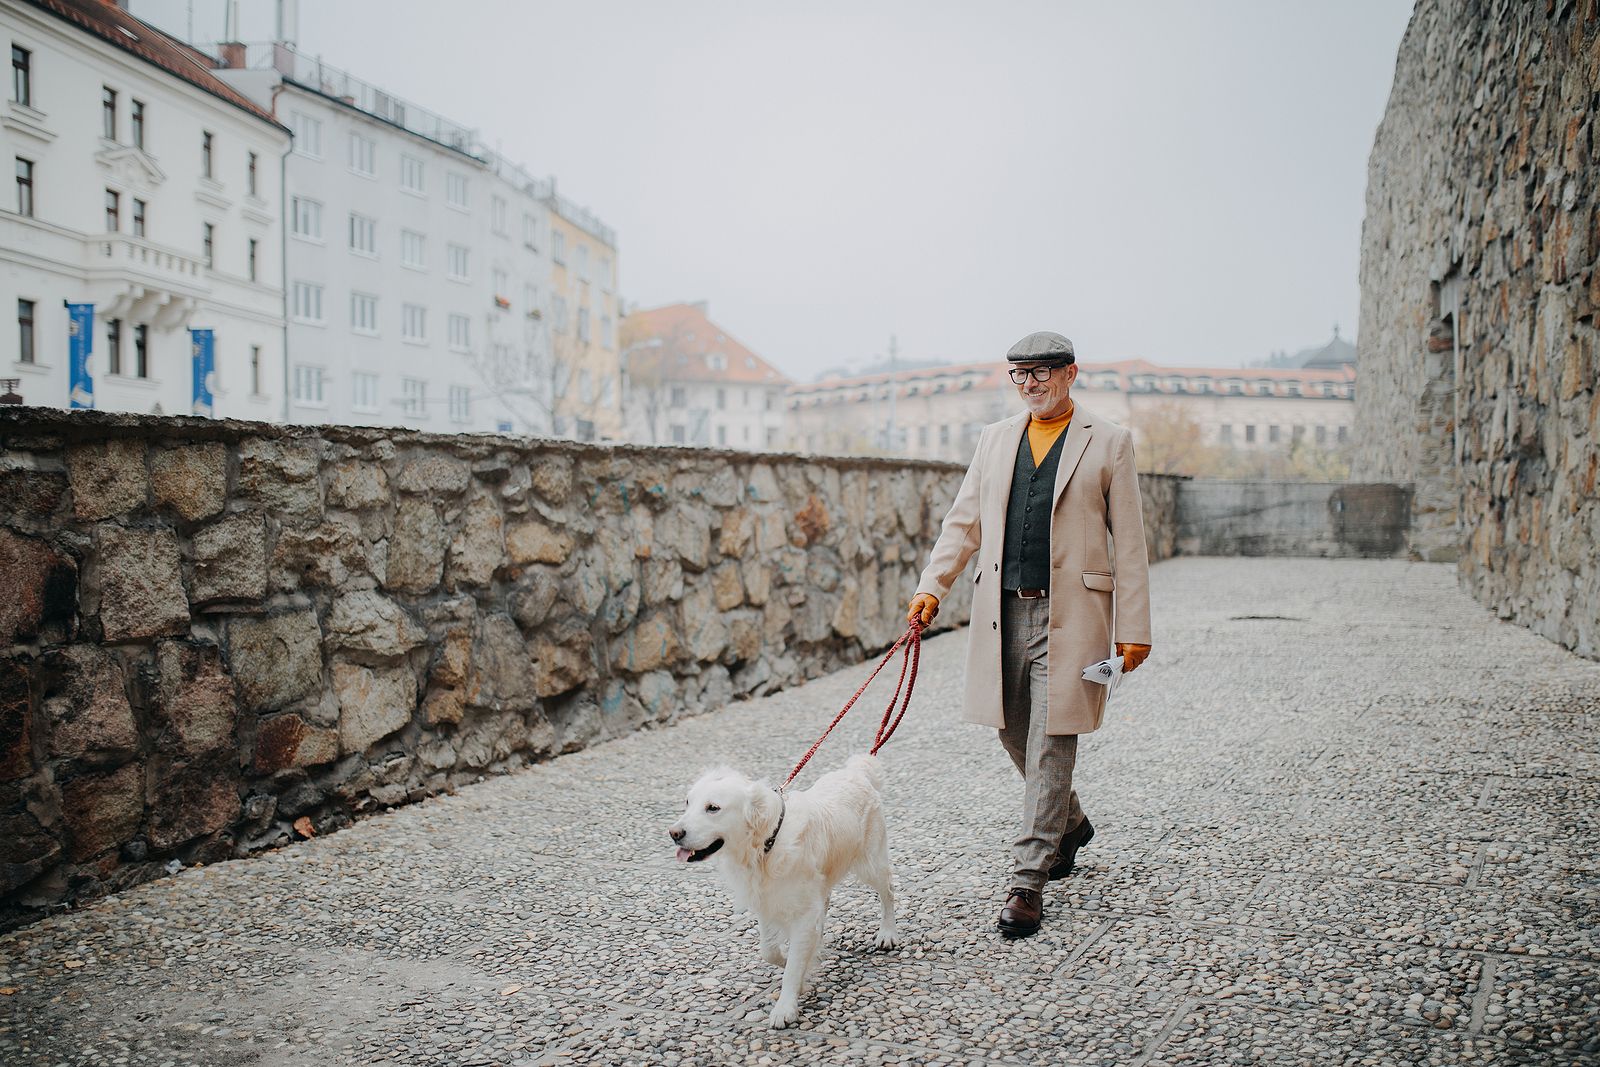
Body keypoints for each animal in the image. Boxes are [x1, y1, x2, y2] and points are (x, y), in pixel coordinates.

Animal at [665, 755, 902, 1030]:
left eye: (713, 808)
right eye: (687, 802)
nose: (674, 833)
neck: (767, 844)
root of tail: (857, 771)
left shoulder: (803, 912)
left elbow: (793, 963)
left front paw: (785, 1006)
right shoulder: (768, 902)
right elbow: (770, 951)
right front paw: (800, 969)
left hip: (871, 862)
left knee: (888, 891)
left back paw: (887, 933)